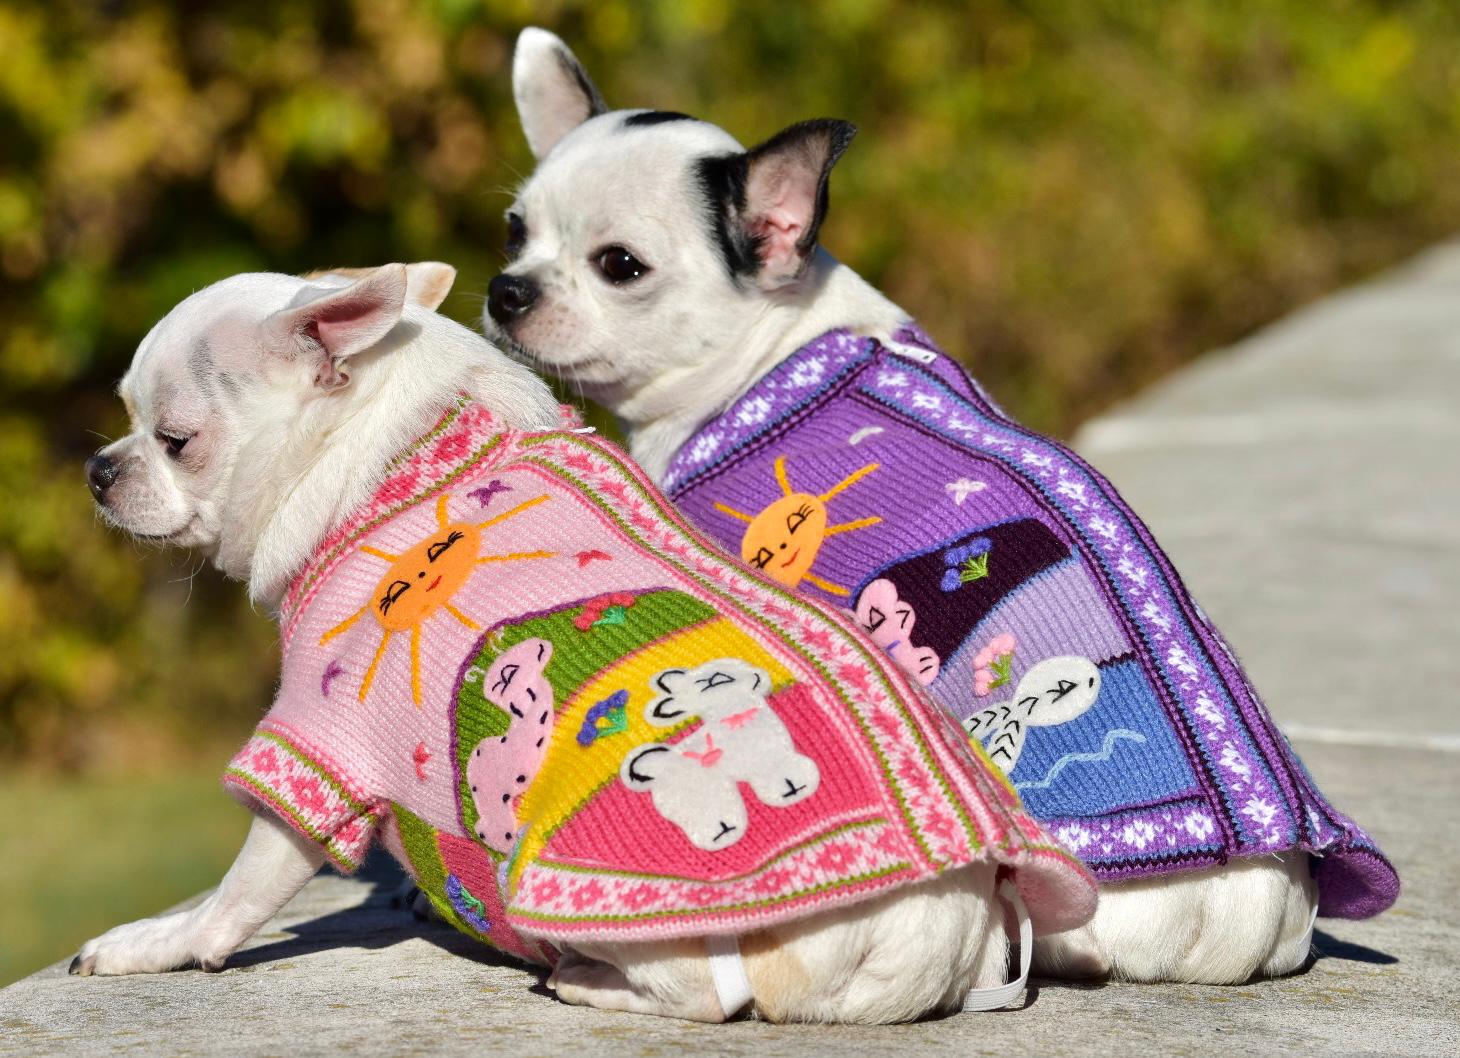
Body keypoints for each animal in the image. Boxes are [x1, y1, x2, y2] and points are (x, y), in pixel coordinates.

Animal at [77, 264, 1098, 1023]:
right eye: (124, 423)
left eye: (175, 440)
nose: (99, 466)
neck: (402, 457)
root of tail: (934, 933)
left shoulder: (318, 734)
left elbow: (244, 888)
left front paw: (159, 945)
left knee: (708, 993)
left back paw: (581, 977)